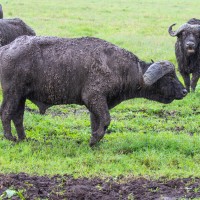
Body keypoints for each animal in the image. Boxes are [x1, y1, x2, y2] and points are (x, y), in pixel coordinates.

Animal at [0, 35, 188, 145]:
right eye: (170, 77)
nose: (185, 91)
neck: (119, 68)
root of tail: (6, 48)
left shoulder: (96, 103)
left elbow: (97, 122)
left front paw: (95, 140)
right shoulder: (94, 97)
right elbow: (106, 120)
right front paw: (93, 140)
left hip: (21, 96)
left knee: (18, 117)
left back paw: (24, 138)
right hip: (13, 93)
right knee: (6, 113)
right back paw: (11, 138)